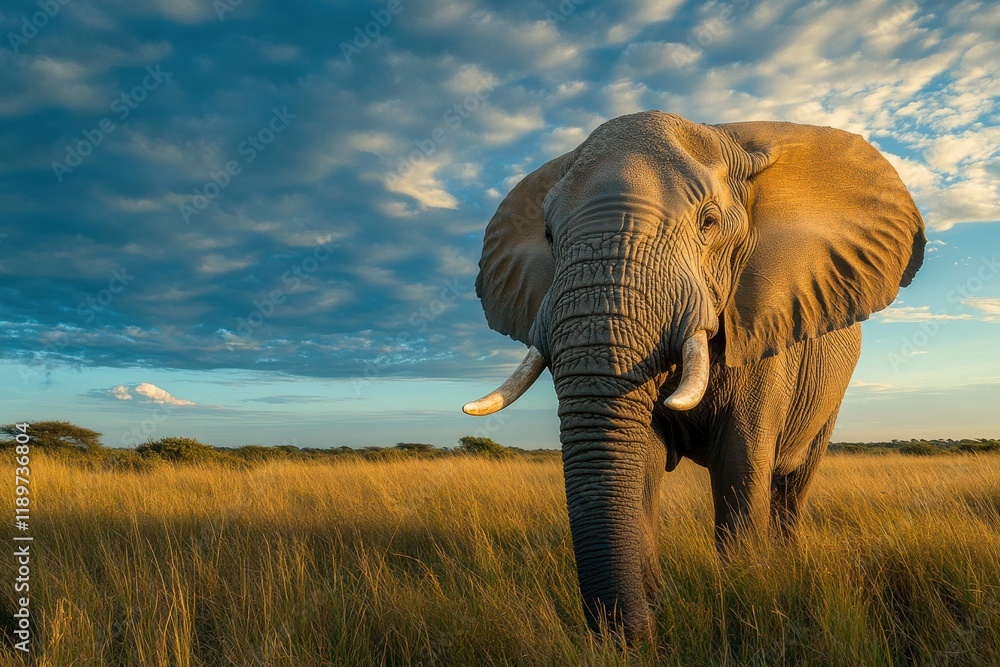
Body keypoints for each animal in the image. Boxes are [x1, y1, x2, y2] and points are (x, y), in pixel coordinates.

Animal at [462, 111, 926, 641]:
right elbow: (641, 467)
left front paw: (745, 598)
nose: (632, 635)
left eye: (708, 222)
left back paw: (787, 563)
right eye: (549, 237)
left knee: (793, 484)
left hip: (830, 394)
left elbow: (740, 463)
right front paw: (654, 616)